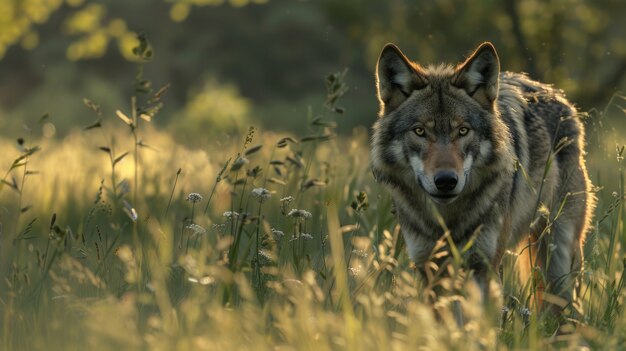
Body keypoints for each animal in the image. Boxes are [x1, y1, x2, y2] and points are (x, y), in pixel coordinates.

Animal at [370, 42, 596, 314]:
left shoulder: (483, 267)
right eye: (420, 131)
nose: (446, 181)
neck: (448, 219)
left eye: (463, 130)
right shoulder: (431, 269)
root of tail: (557, 95)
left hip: (561, 258)